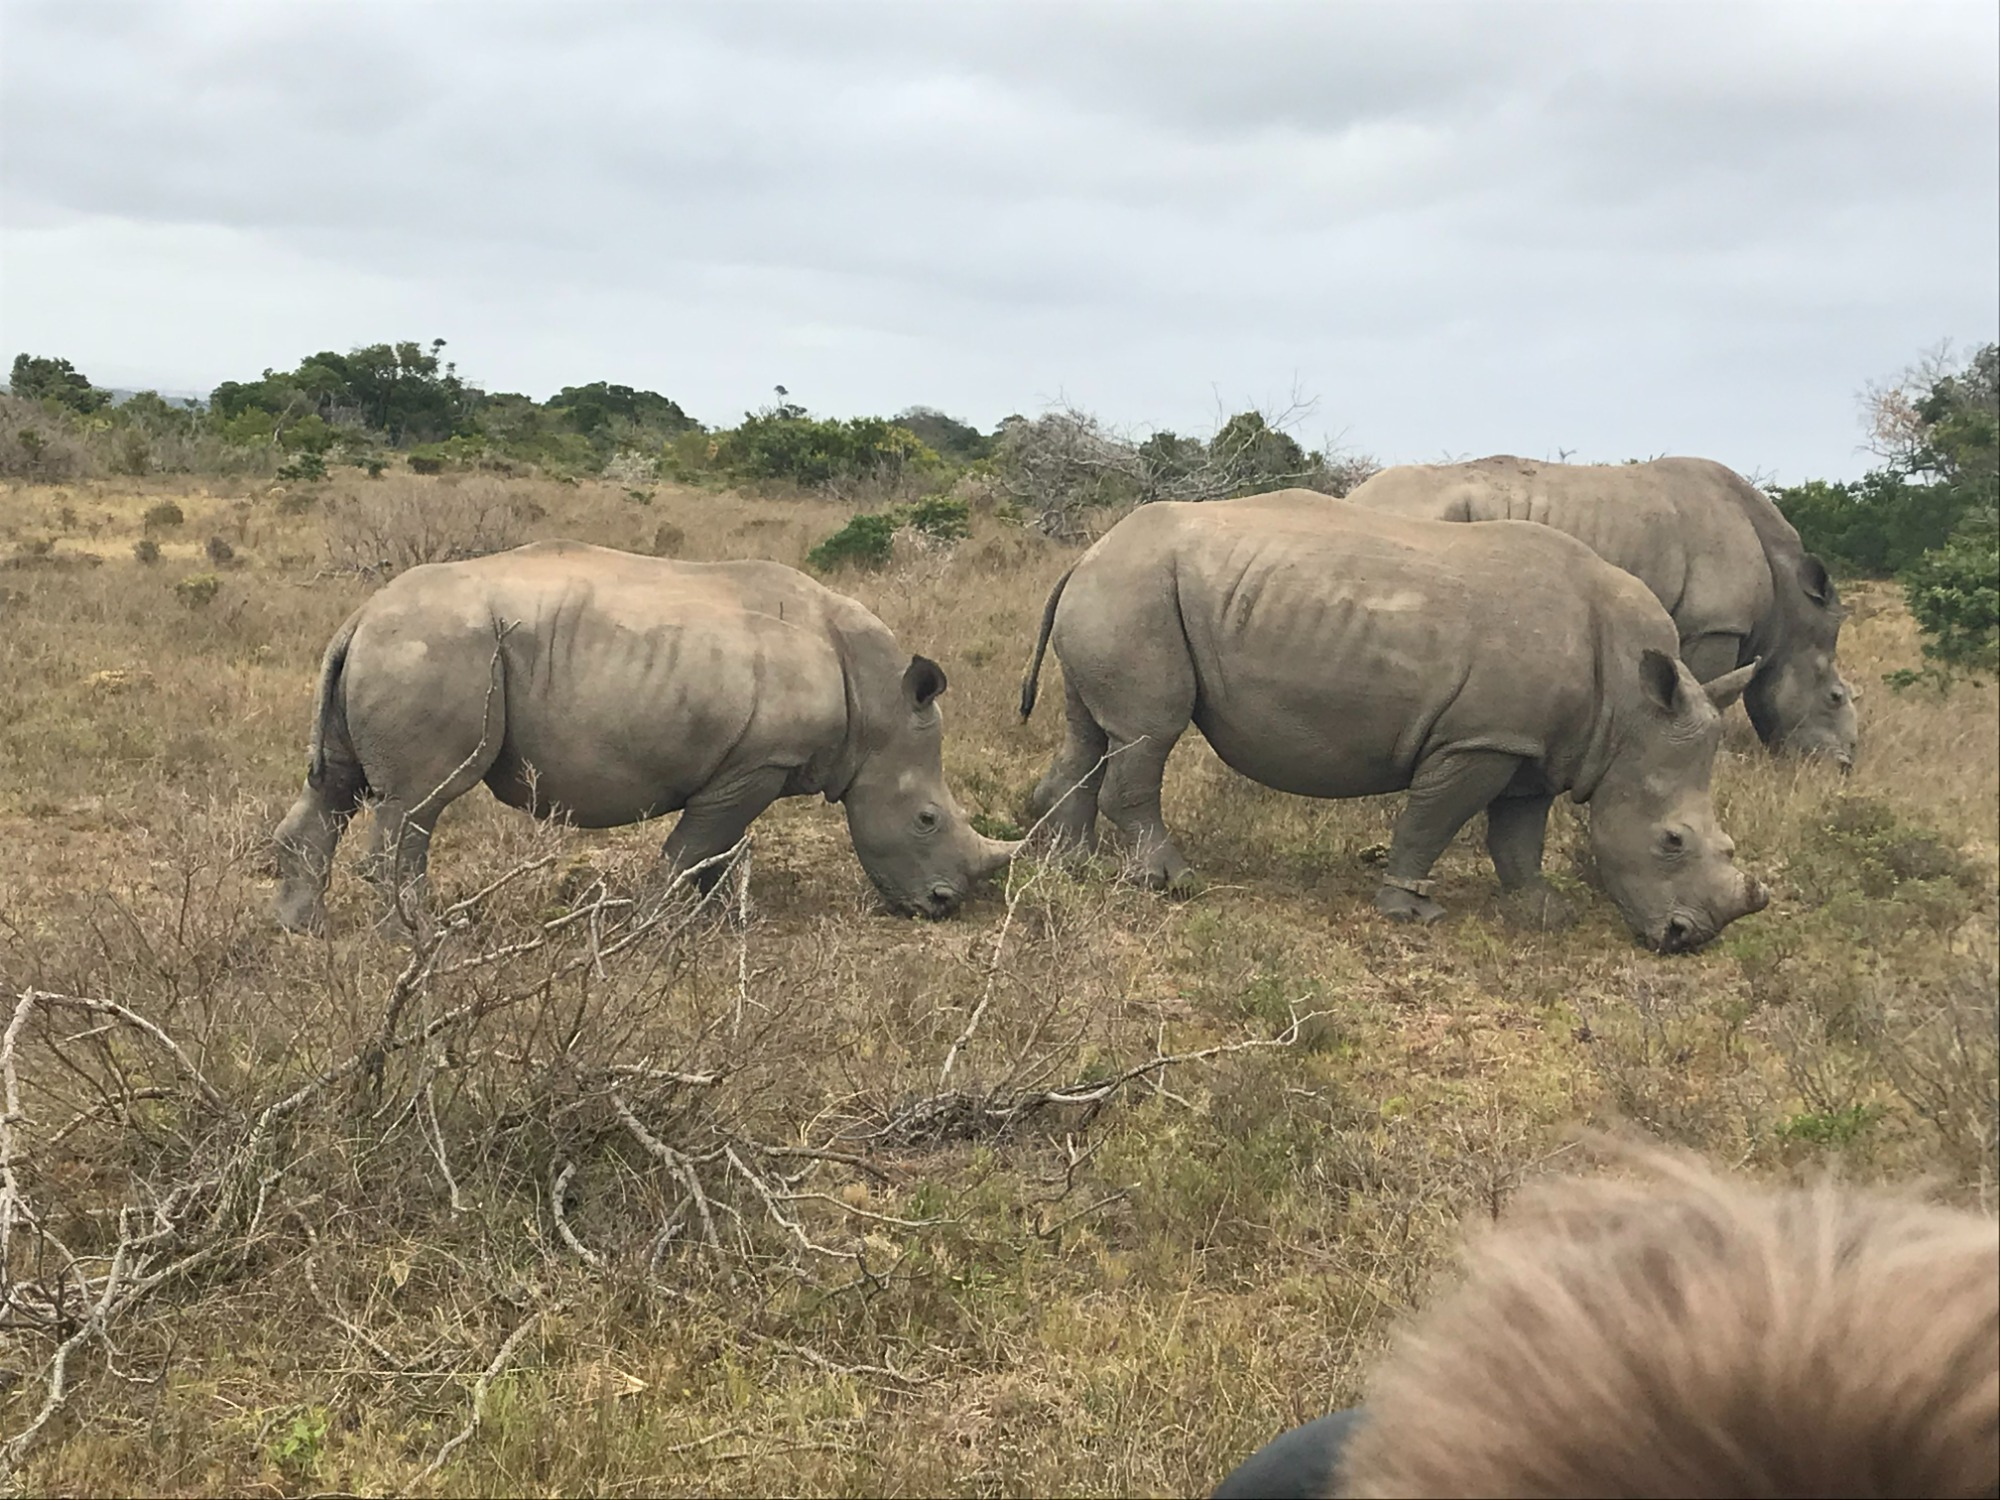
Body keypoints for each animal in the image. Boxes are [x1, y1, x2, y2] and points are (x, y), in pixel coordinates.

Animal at [272, 541, 1017, 932]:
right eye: (926, 819)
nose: (943, 906)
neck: (877, 703)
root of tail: (363, 612)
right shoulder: (760, 762)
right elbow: (695, 846)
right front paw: (656, 928)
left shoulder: (750, 764)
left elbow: (717, 852)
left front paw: (717, 926)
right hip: (438, 649)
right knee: (419, 802)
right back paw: (424, 940)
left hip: (399, 646)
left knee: (337, 786)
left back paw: (300, 929)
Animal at [1018, 493, 1769, 952]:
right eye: (1672, 841)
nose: (1687, 939)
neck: (1630, 713)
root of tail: (1086, 553)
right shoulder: (1479, 740)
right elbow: (1432, 821)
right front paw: (1411, 913)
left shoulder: (1534, 745)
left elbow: (1519, 835)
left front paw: (1544, 910)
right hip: (1137, 590)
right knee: (1150, 733)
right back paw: (1174, 882)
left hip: (1123, 589)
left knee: (1092, 730)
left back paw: (1073, 865)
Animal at [1345, 455, 1857, 766]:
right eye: (1835, 697)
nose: (1843, 766)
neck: (1788, 609)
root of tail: (1355, 496)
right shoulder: (1714, 625)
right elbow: (1712, 686)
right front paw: (1721, 760)